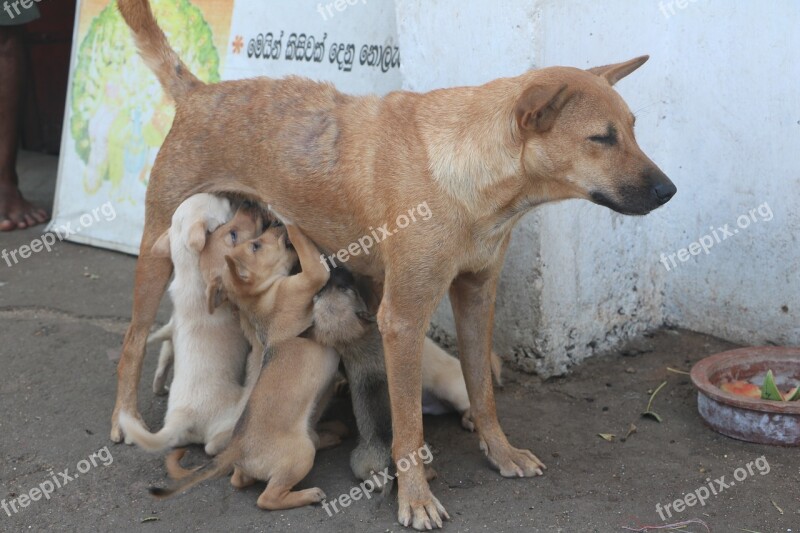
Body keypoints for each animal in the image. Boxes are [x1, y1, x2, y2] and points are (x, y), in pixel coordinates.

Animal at [118, 193, 250, 456]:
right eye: (224, 205)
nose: (234, 197)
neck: (189, 271)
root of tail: (181, 417)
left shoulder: (172, 326)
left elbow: (165, 351)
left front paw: (158, 383)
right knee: (213, 444)